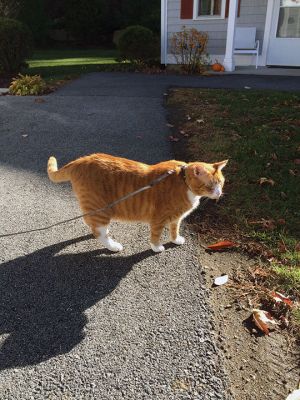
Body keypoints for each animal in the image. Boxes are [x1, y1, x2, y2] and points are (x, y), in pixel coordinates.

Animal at [47, 154, 227, 253]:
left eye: (221, 183)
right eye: (210, 186)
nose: (219, 193)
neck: (181, 180)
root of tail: (80, 160)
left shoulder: (176, 218)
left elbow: (174, 229)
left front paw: (175, 240)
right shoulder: (158, 219)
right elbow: (155, 235)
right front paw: (157, 247)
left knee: (90, 222)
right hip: (100, 210)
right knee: (98, 232)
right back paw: (113, 246)